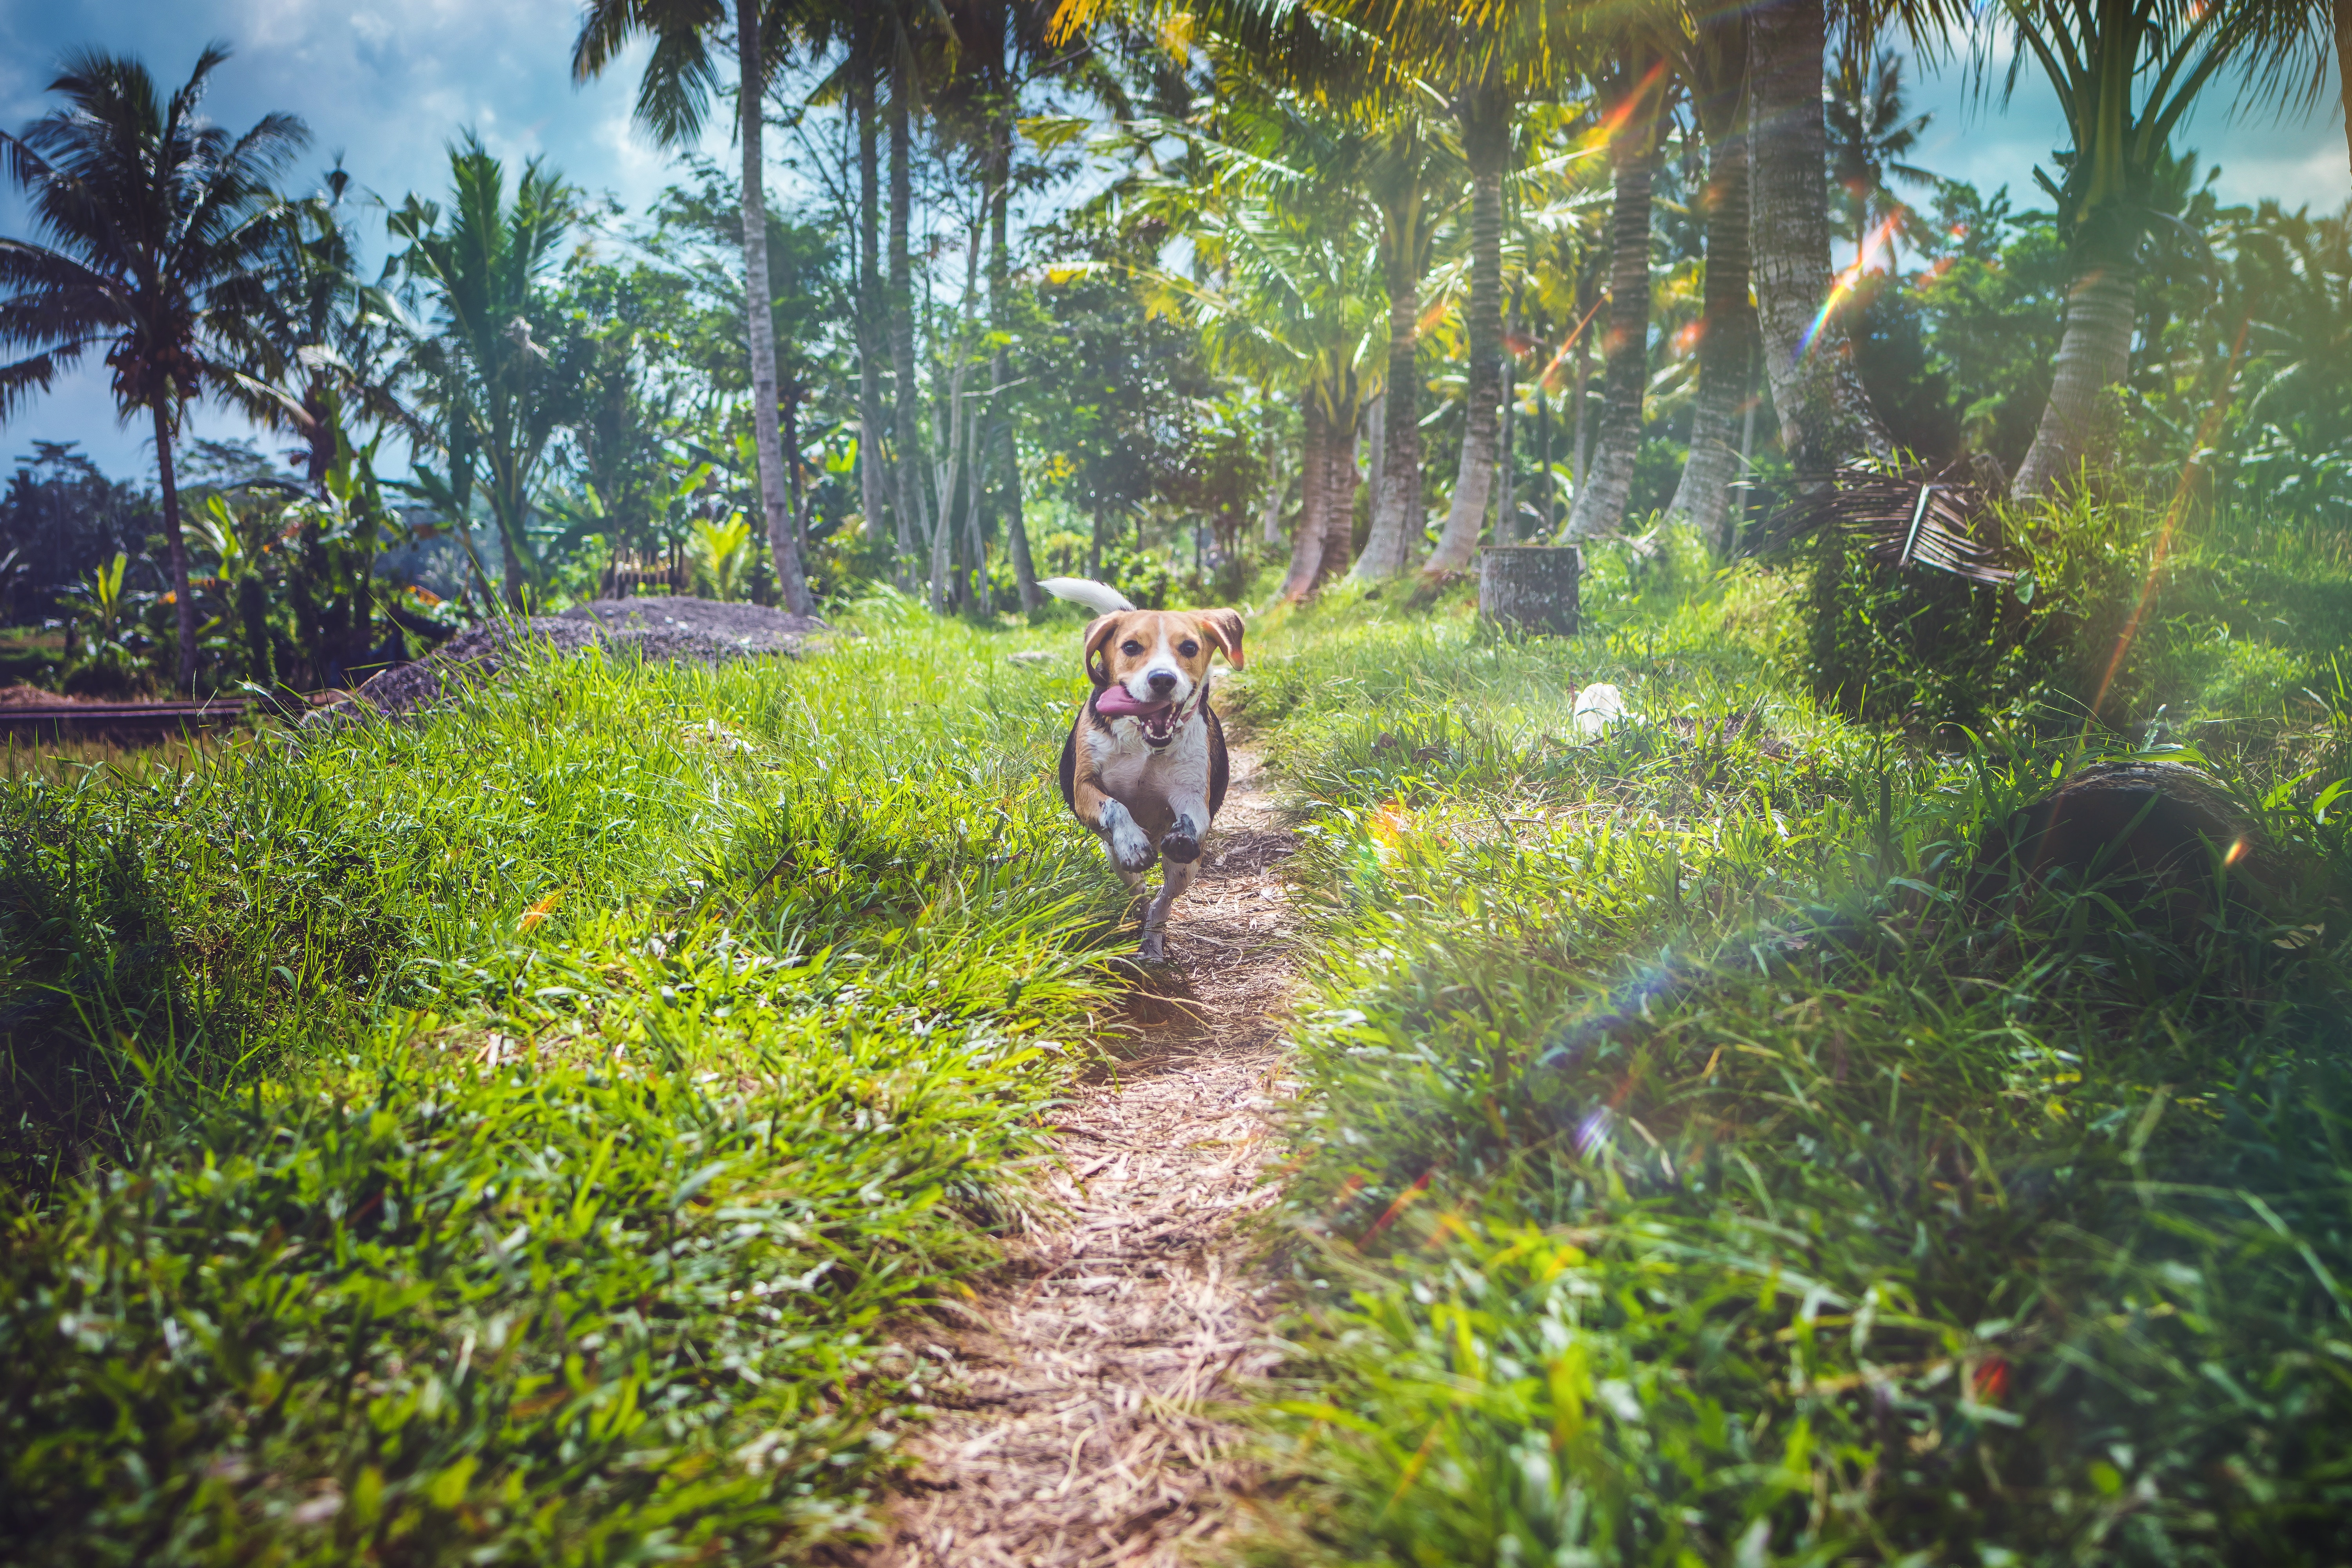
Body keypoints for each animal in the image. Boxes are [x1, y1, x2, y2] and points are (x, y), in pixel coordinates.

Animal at [1040, 581, 1242, 964]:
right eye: (1131, 647)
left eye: (1189, 647)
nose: (1162, 680)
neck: (1145, 741)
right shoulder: (1085, 788)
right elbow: (1116, 807)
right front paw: (1133, 841)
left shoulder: (1191, 793)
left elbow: (1191, 816)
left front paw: (1182, 833)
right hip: (1116, 861)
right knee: (1140, 893)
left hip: (1185, 871)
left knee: (1163, 902)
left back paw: (1152, 940)